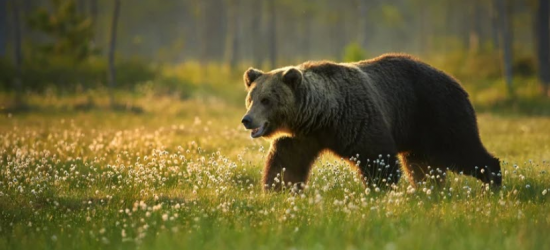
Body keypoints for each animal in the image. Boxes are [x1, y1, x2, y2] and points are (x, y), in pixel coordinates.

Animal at [243, 52, 504, 189]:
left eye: (266, 100)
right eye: (251, 98)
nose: (247, 120)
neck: (321, 116)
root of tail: (457, 82)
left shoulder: (357, 120)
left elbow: (377, 159)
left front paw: (379, 190)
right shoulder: (300, 137)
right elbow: (286, 163)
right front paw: (278, 188)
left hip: (438, 113)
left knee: (462, 149)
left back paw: (492, 182)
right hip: (418, 132)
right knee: (420, 165)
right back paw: (428, 189)